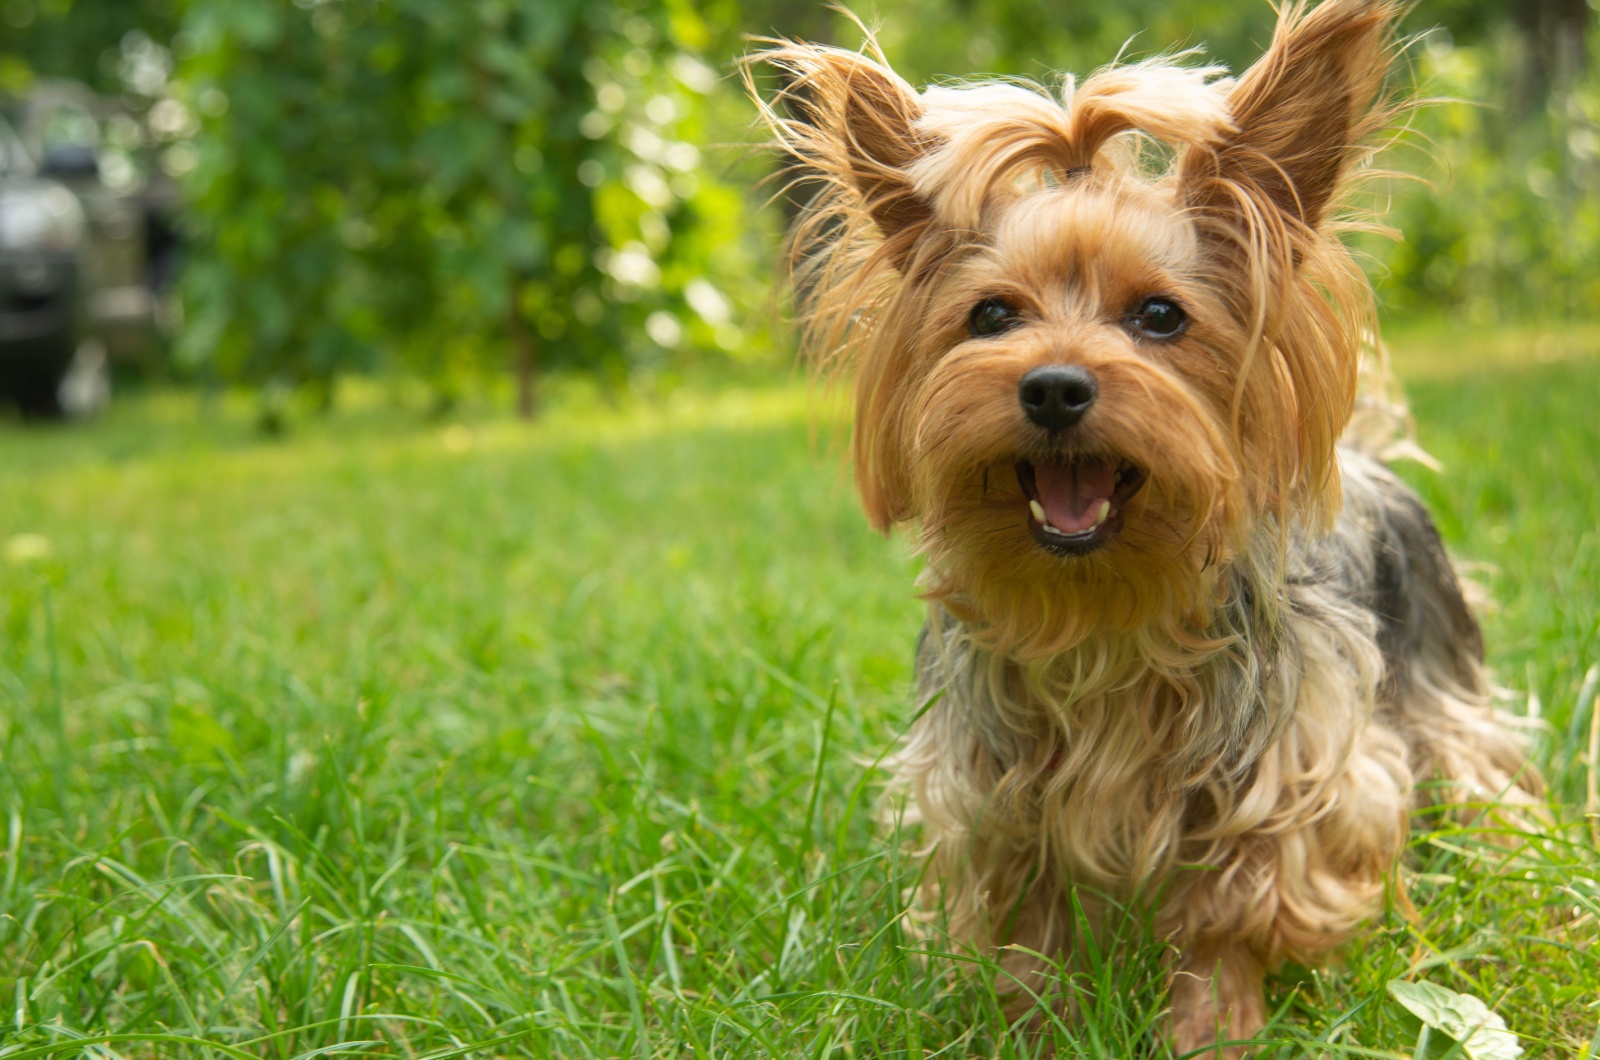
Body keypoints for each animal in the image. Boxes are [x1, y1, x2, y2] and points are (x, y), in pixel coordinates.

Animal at [742, 2, 1542, 1056]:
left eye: (1161, 315)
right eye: (990, 316)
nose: (1052, 386)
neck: (1104, 611)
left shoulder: (1288, 770)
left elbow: (1234, 909)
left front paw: (1212, 1026)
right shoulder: (992, 789)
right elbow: (1025, 931)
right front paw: (1032, 1029)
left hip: (1443, 690)